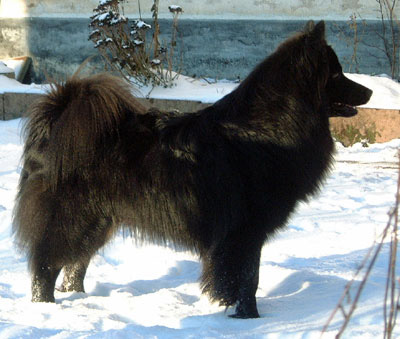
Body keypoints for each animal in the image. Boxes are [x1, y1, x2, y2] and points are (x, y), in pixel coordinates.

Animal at [13, 21, 376, 318]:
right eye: (336, 74)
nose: (371, 91)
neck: (266, 130)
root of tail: (56, 119)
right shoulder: (243, 232)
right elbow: (247, 278)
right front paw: (248, 318)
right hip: (70, 218)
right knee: (46, 264)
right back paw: (45, 307)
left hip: (98, 221)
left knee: (75, 263)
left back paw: (78, 299)